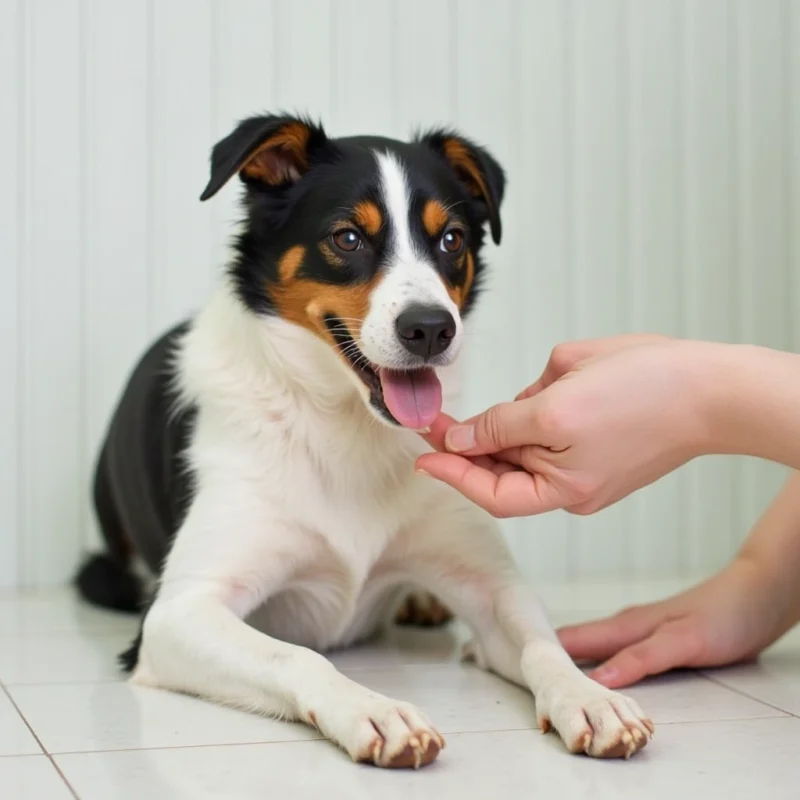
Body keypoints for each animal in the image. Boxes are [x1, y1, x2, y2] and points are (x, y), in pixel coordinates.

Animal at [73, 112, 648, 768]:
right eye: (347, 238)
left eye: (451, 239)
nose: (431, 329)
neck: (344, 423)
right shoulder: (177, 616)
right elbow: (298, 655)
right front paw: (374, 710)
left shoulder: (493, 587)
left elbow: (543, 645)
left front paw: (590, 698)